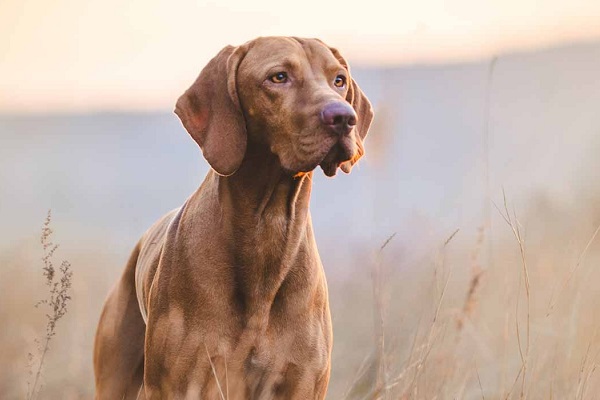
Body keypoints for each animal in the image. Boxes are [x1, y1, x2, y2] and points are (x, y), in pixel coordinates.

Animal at [93, 36, 372, 398]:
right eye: (278, 77)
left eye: (339, 80)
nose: (343, 117)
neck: (266, 228)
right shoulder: (180, 384)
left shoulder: (302, 382)